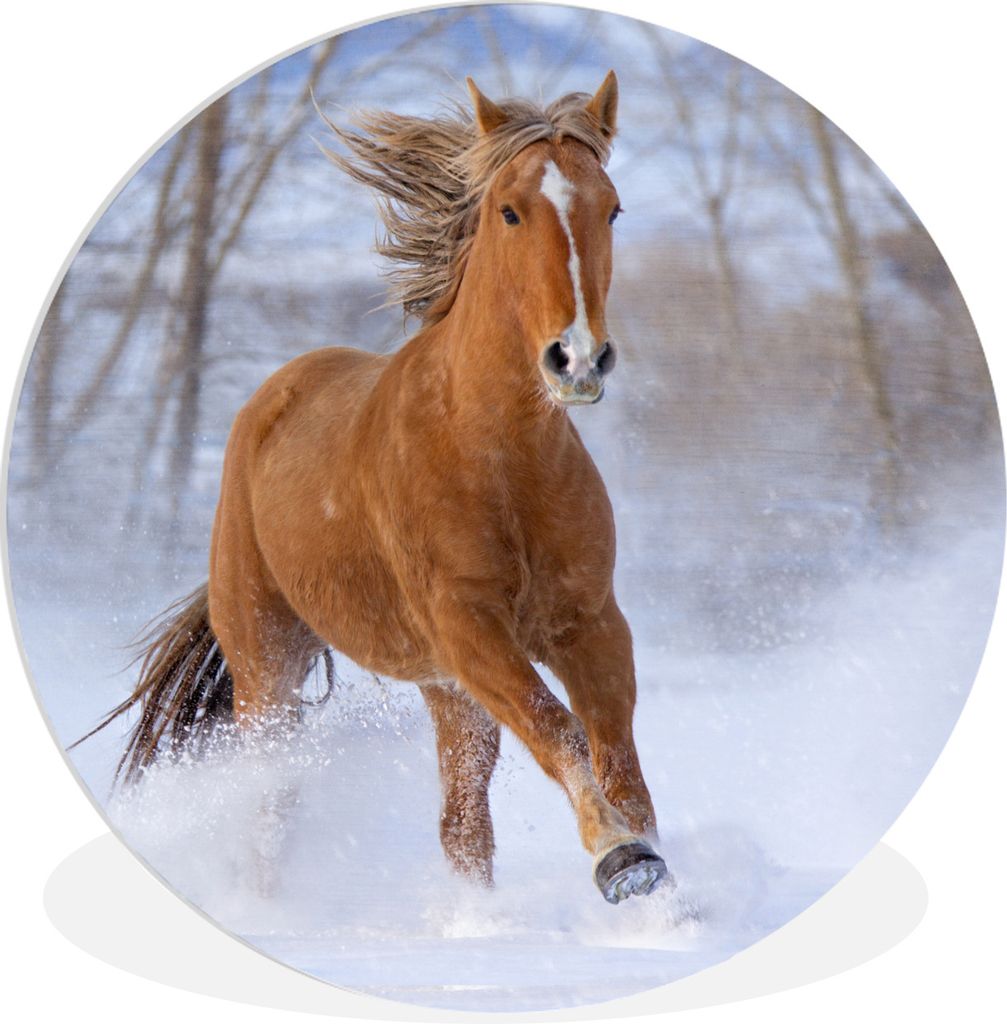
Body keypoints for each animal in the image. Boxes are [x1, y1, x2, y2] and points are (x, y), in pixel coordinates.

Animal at [82, 71, 670, 905]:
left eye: (611, 207)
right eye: (509, 209)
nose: (577, 359)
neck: (500, 458)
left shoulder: (586, 623)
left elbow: (616, 756)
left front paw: (653, 878)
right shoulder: (466, 626)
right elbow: (559, 731)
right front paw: (620, 858)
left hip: (444, 690)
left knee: (462, 826)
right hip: (268, 664)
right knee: (270, 804)